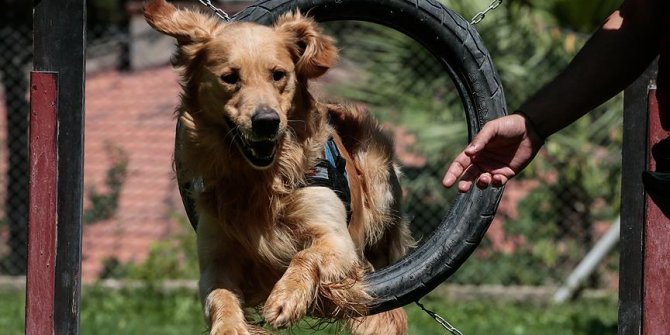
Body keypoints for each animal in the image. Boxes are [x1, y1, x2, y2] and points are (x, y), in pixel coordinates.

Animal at [144, 1, 412, 334]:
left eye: (278, 75)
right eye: (230, 77)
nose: (266, 121)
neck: (259, 180)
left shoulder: (337, 238)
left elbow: (306, 255)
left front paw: (286, 297)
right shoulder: (215, 257)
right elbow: (220, 295)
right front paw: (230, 326)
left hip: (378, 178)